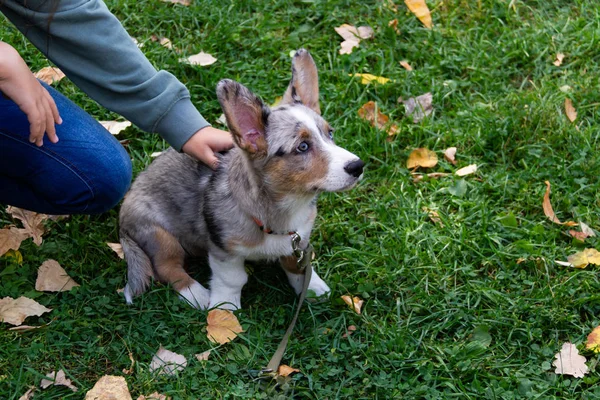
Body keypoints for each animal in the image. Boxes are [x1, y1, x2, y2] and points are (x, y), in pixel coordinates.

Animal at [116, 50, 360, 310]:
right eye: (302, 147)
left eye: (330, 133)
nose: (358, 166)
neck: (287, 205)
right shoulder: (224, 251)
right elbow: (232, 279)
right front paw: (224, 309)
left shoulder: (299, 239)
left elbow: (297, 267)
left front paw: (312, 287)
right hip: (160, 236)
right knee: (166, 268)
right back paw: (197, 294)